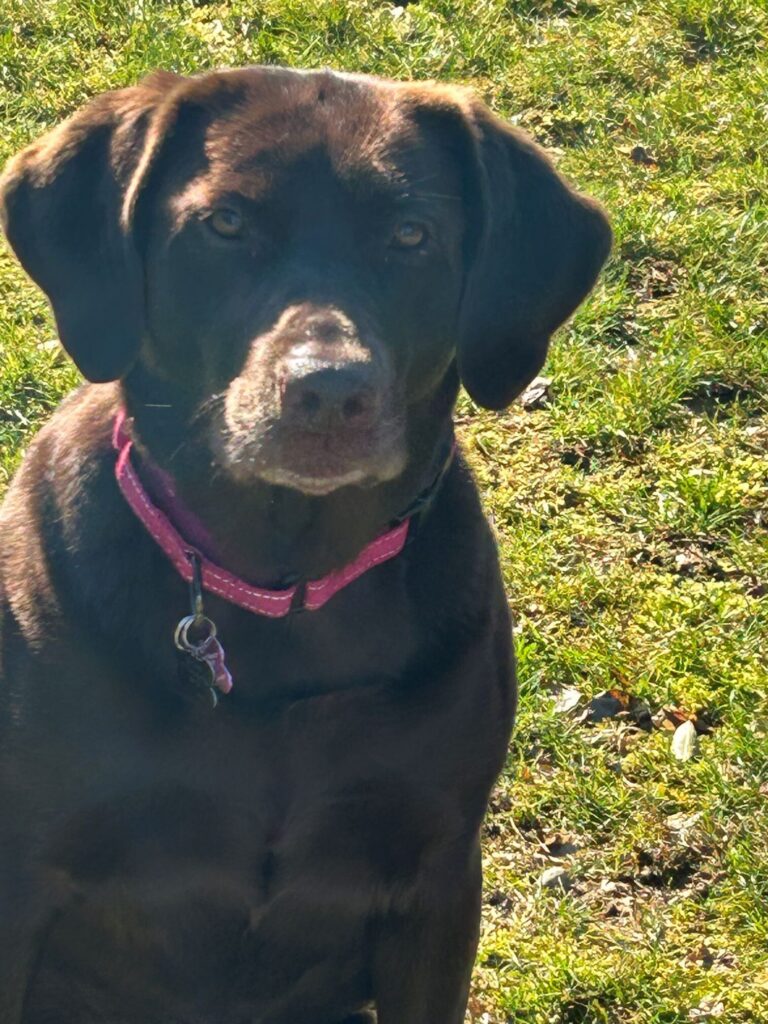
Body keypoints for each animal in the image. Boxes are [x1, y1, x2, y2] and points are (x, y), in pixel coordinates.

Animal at [0, 66, 610, 1023]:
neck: (284, 588)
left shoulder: (436, 878)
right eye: (225, 224)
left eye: (411, 234)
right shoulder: (26, 868)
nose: (329, 392)